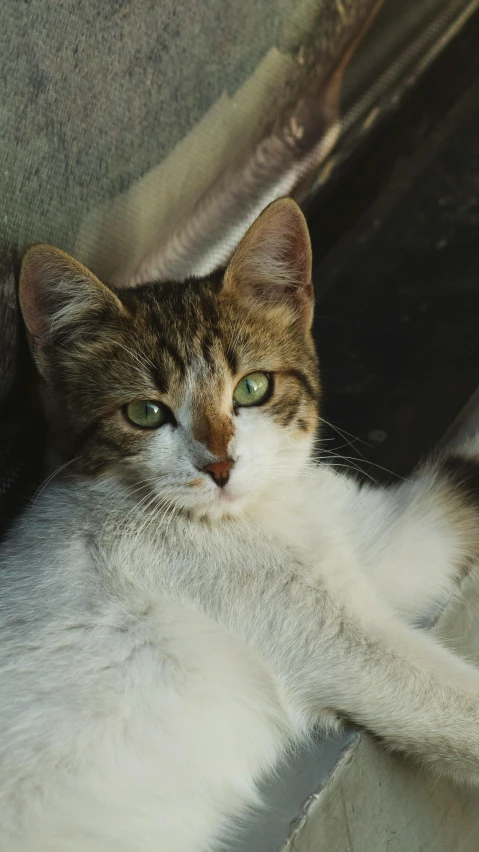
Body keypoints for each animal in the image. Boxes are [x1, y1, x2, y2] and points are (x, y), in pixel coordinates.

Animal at [0, 196, 479, 848]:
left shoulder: (376, 538)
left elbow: (452, 496)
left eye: (253, 387)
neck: (258, 513)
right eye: (145, 413)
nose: (220, 465)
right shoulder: (343, 645)